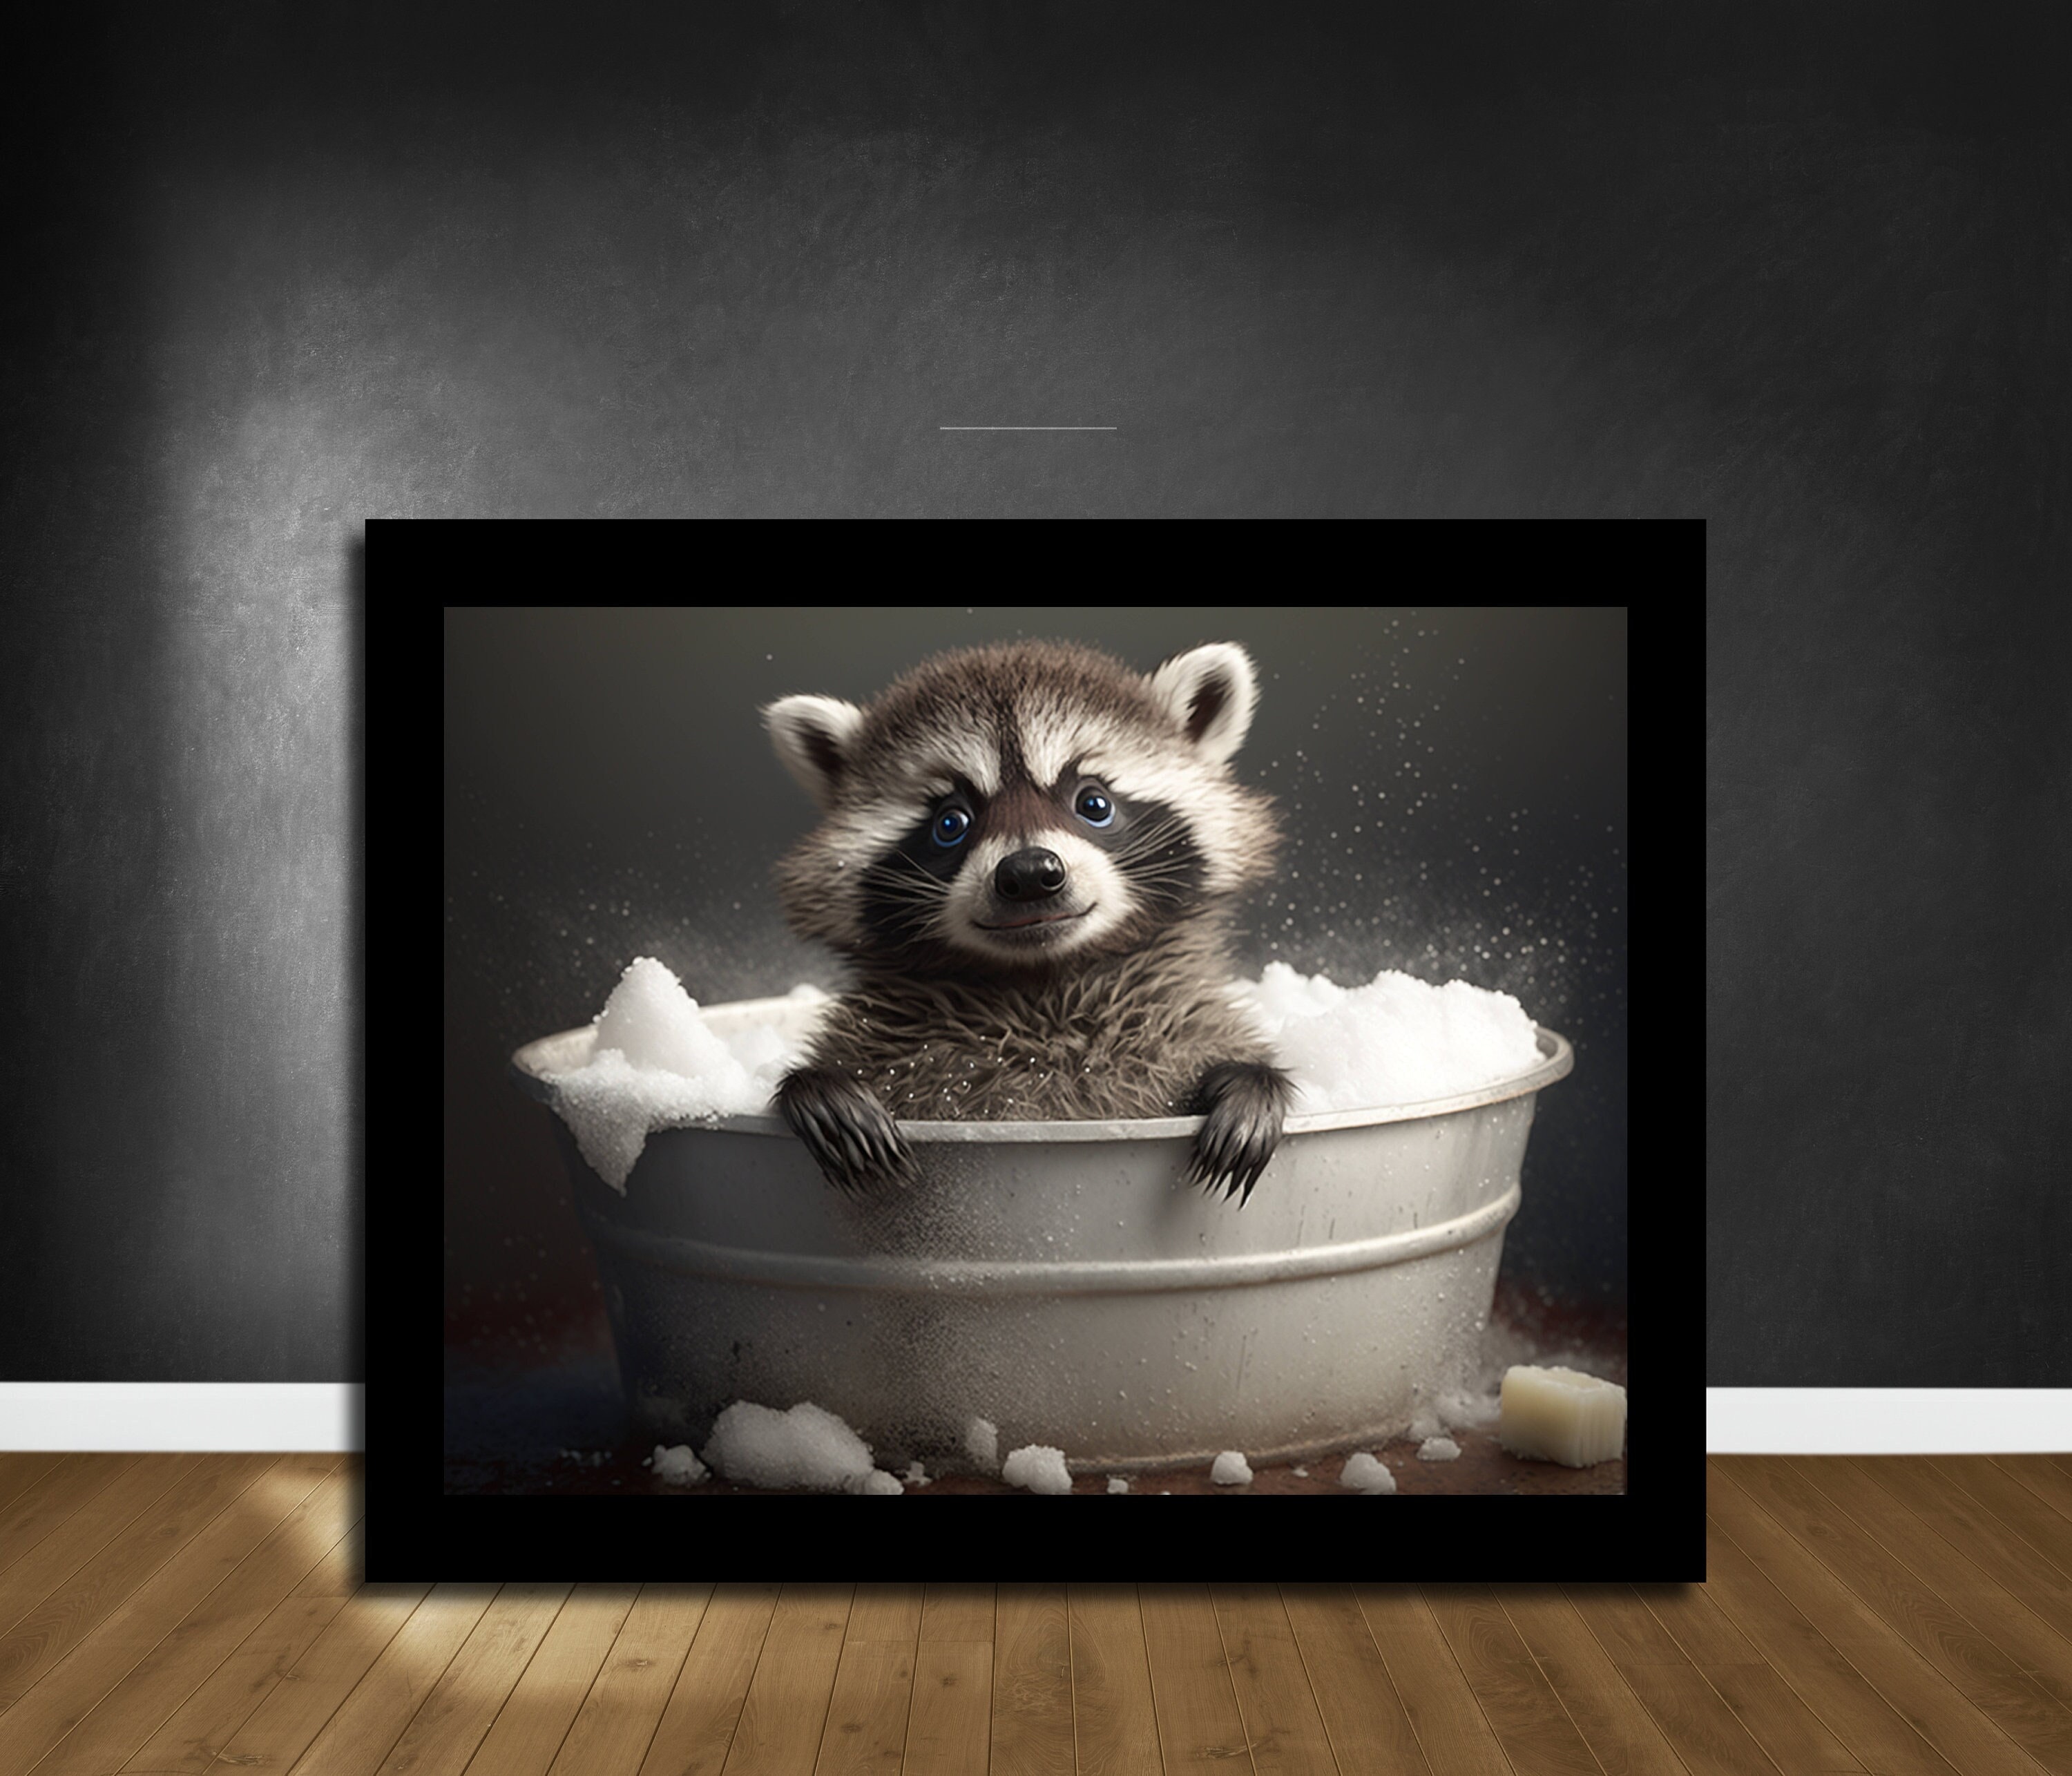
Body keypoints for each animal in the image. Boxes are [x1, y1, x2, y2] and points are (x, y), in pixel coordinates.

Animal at [761, 639, 1294, 1205]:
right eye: (951, 822)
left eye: (1094, 803)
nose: (1031, 874)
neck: (1042, 975)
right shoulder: (889, 1047)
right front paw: (821, 1090)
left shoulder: (1177, 1023)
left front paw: (1247, 1084)